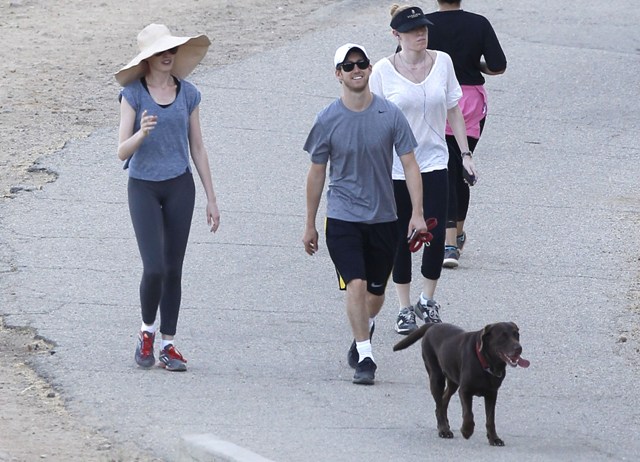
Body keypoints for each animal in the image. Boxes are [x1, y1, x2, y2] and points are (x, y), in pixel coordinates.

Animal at [393, 322, 529, 446]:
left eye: (516, 334)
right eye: (503, 336)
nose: (519, 348)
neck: (485, 363)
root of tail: (433, 324)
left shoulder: (492, 393)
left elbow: (490, 419)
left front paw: (494, 438)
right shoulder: (465, 390)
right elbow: (468, 414)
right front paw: (466, 431)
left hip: (452, 379)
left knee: (444, 399)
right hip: (436, 377)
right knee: (439, 405)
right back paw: (444, 430)